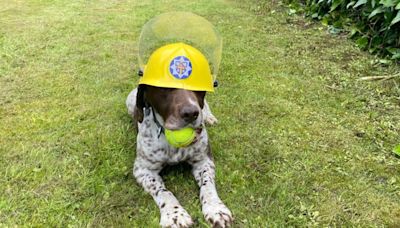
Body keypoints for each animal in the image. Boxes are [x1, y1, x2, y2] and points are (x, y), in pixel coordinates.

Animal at [126, 84, 233, 227]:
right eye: (164, 87)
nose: (191, 113)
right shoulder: (143, 170)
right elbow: (163, 191)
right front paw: (174, 214)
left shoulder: (204, 161)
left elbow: (207, 185)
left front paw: (216, 208)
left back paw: (209, 117)